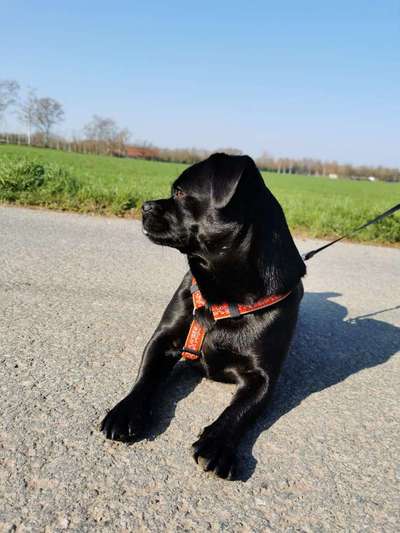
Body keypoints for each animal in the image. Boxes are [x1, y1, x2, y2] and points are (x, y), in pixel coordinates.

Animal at [101, 153, 306, 478]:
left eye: (180, 193)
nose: (145, 205)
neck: (221, 298)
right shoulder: (163, 340)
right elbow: (145, 377)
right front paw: (125, 411)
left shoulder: (263, 378)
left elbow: (238, 410)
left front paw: (217, 444)